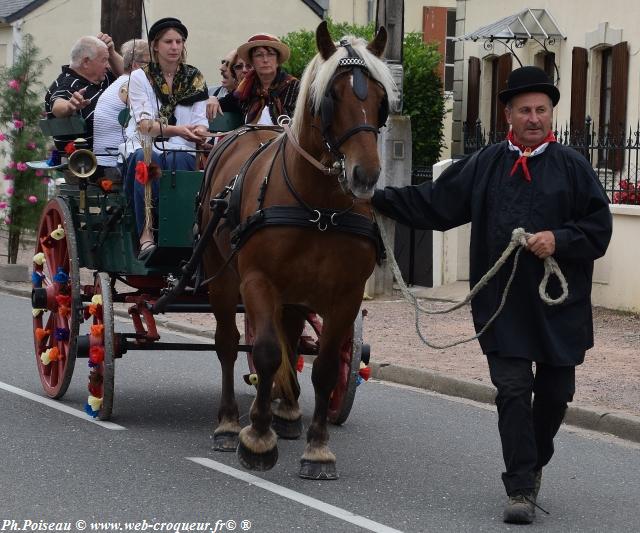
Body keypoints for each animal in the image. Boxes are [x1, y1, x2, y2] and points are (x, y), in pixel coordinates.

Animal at [199, 20, 396, 478]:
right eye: (331, 98)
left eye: (381, 100)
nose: (365, 175)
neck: (319, 206)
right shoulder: (257, 282)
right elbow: (265, 352)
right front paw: (256, 439)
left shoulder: (346, 295)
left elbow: (323, 367)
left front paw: (317, 448)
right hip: (222, 276)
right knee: (228, 343)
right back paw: (229, 423)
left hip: (293, 293)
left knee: (288, 338)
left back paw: (286, 413)